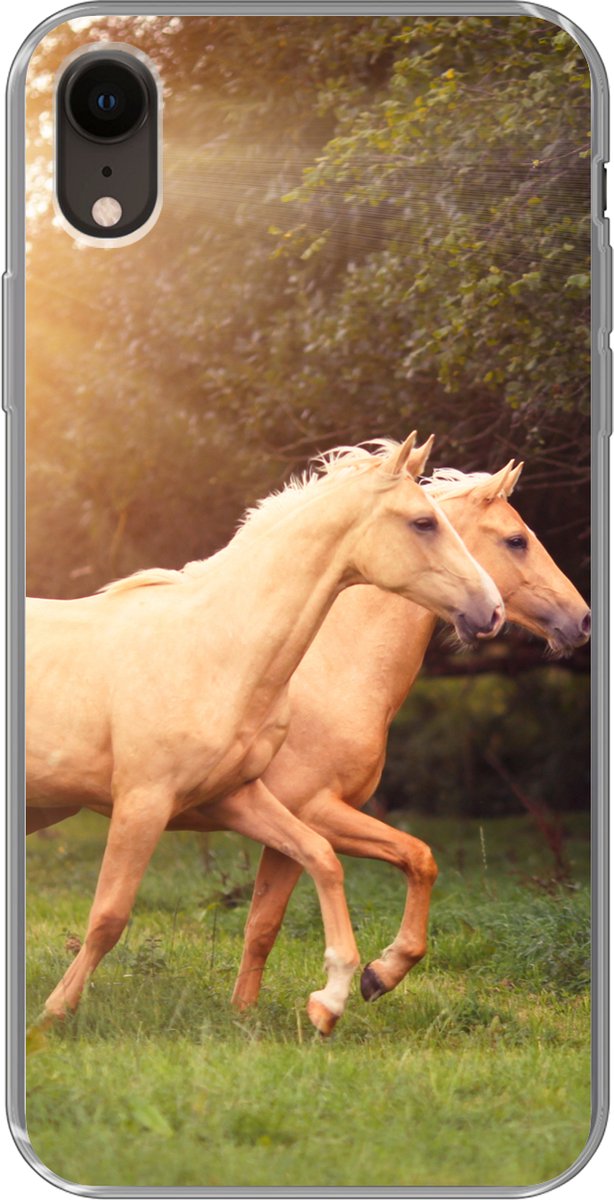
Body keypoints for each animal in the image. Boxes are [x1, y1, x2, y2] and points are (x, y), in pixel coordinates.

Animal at [26, 433, 504, 1033]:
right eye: (424, 523)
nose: (492, 611)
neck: (217, 648)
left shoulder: (237, 797)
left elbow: (321, 858)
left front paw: (336, 995)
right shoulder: (143, 802)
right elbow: (108, 917)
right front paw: (52, 1013)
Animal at [216, 455, 590, 1022]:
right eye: (516, 540)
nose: (583, 620)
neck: (328, 670)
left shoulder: (291, 827)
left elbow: (262, 925)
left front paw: (245, 1018)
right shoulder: (316, 810)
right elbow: (420, 857)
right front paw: (377, 975)